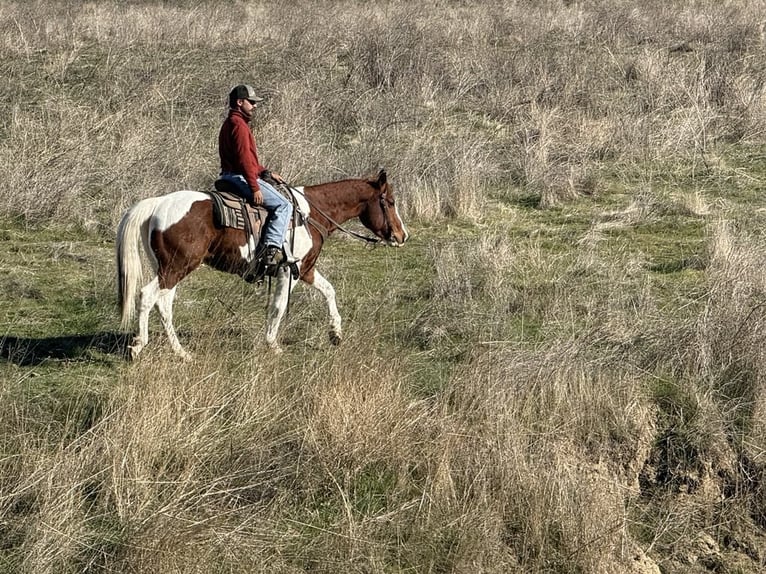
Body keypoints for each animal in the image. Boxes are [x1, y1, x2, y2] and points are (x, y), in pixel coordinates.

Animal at [116, 168, 408, 359]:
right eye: (390, 202)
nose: (402, 236)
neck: (310, 213)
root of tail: (158, 204)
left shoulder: (306, 269)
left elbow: (329, 291)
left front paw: (335, 333)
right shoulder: (290, 272)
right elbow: (279, 307)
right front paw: (272, 344)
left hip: (171, 269)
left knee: (164, 305)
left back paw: (181, 352)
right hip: (177, 267)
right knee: (147, 296)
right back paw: (139, 345)